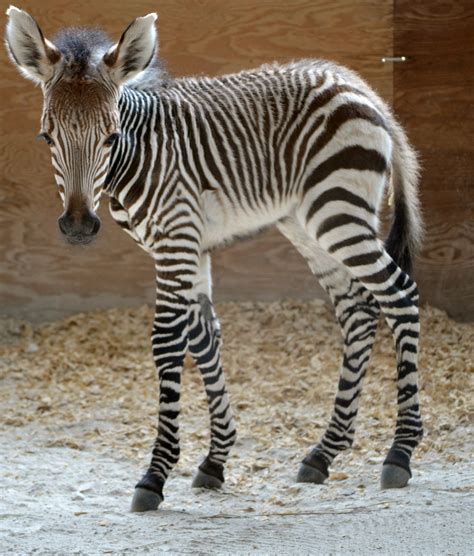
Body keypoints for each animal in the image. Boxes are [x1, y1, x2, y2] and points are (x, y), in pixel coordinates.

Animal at [6, 7, 422, 512]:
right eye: (47, 137)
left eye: (110, 137)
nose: (80, 226)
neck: (140, 154)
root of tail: (359, 85)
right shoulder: (191, 245)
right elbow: (206, 338)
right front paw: (215, 459)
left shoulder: (176, 241)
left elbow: (168, 341)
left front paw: (156, 474)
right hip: (308, 224)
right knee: (358, 311)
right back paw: (324, 452)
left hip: (338, 212)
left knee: (399, 294)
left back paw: (400, 452)